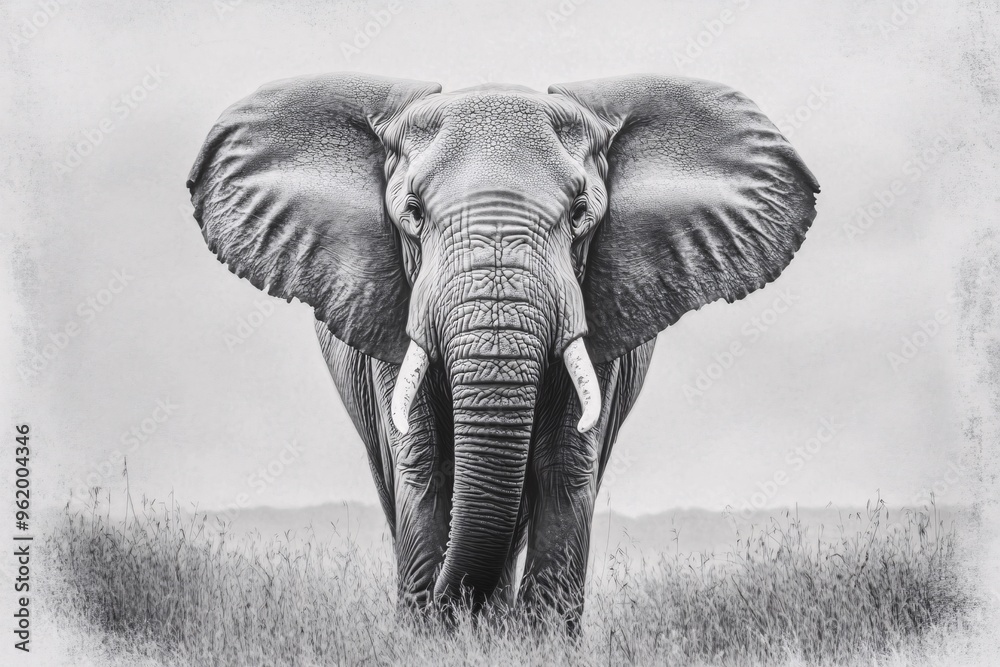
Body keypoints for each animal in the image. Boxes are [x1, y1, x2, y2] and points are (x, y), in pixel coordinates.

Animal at [187, 72, 818, 629]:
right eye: (412, 213)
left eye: (580, 214)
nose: (449, 604)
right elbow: (425, 469)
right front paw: (434, 632)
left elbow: (565, 469)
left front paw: (530, 637)